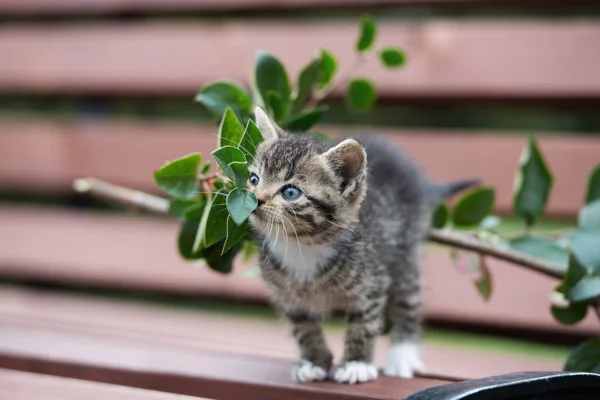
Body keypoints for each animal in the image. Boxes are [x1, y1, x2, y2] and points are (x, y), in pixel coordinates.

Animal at [246, 107, 476, 384]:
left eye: (290, 192)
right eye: (254, 179)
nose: (254, 200)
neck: (302, 244)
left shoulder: (371, 283)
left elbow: (363, 323)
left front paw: (356, 363)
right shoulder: (287, 295)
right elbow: (303, 327)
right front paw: (314, 360)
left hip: (405, 250)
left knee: (409, 300)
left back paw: (403, 354)